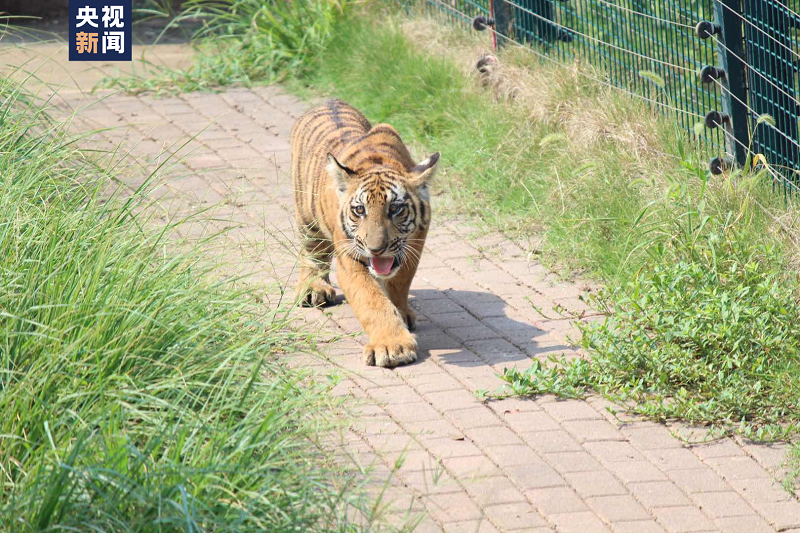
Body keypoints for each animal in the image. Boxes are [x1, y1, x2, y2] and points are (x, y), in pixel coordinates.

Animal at [290, 98, 438, 366]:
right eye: (360, 210)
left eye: (395, 208)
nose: (376, 249)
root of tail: (329, 100)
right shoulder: (350, 259)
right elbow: (371, 299)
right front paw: (393, 346)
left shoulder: (415, 242)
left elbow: (400, 281)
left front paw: (402, 315)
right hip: (307, 218)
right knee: (313, 253)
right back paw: (313, 289)